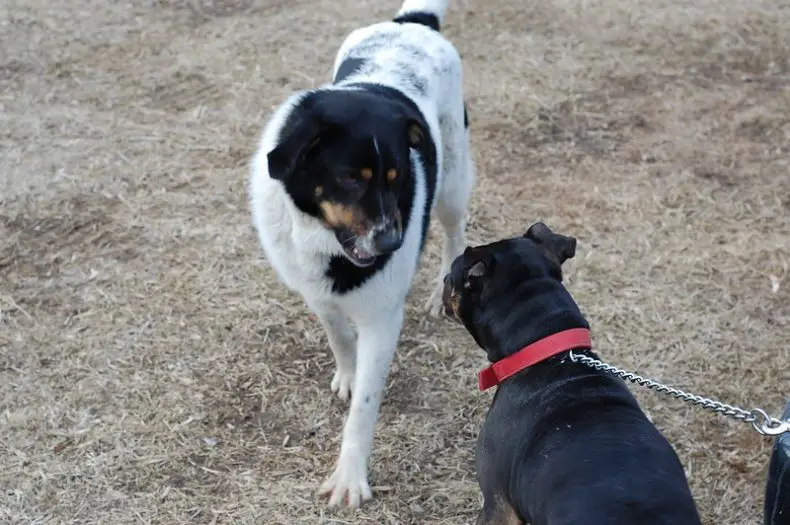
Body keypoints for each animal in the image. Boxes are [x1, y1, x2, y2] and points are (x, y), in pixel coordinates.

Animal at [251, 0, 474, 508]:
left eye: (397, 176)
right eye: (352, 178)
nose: (394, 244)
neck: (322, 239)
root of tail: (412, 22)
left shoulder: (381, 319)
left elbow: (364, 411)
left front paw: (350, 476)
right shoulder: (317, 294)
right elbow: (339, 338)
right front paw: (348, 374)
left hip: (452, 183)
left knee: (456, 233)